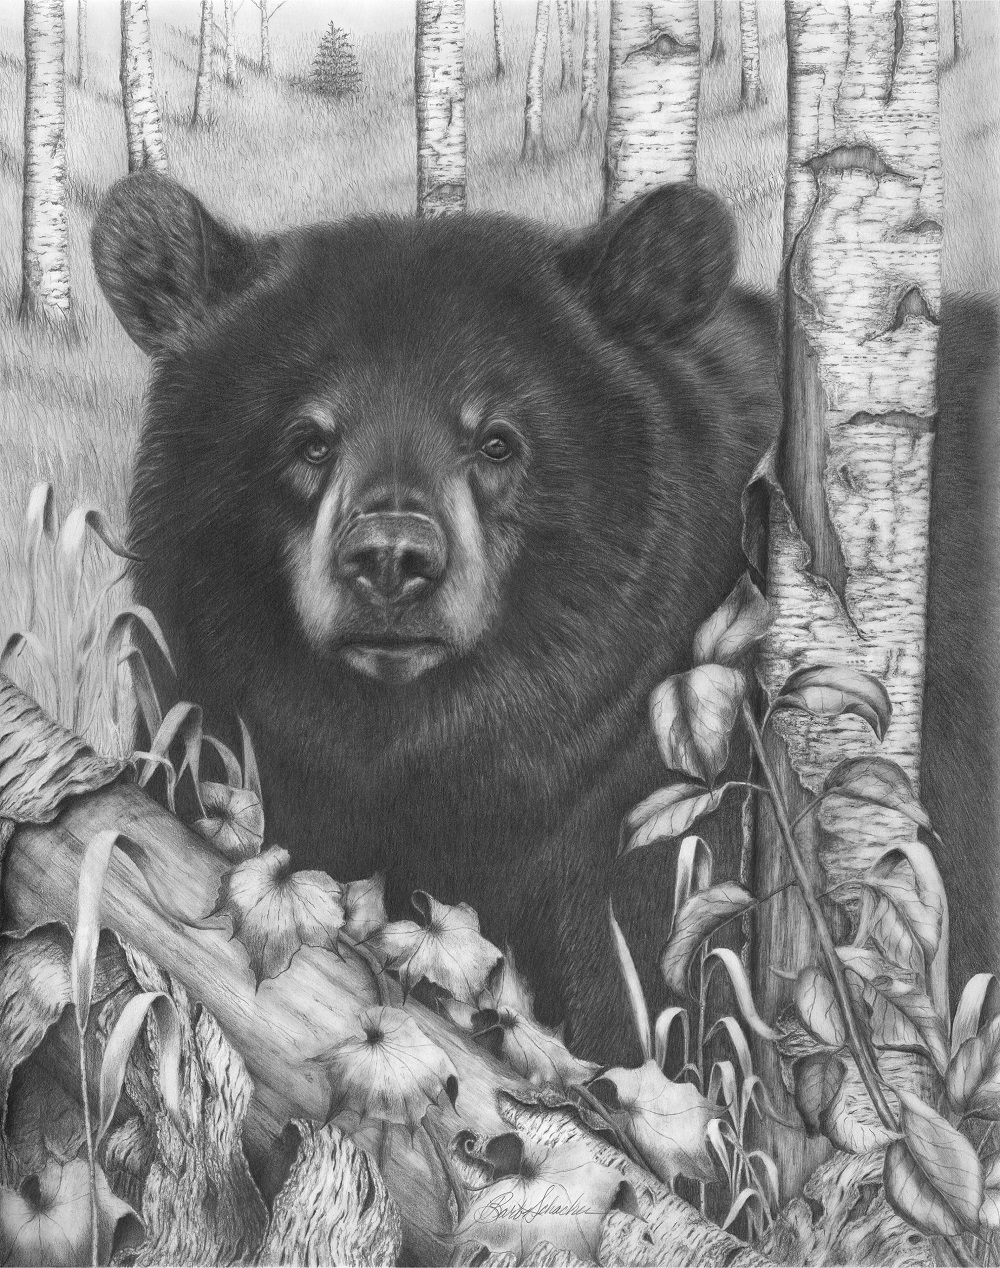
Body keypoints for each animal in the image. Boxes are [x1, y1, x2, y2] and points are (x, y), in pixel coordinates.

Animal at [90, 172, 783, 1065]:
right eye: (310, 440)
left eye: (496, 441)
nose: (392, 556)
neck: (431, 751)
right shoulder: (205, 724)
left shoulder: (656, 794)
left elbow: (652, 983)